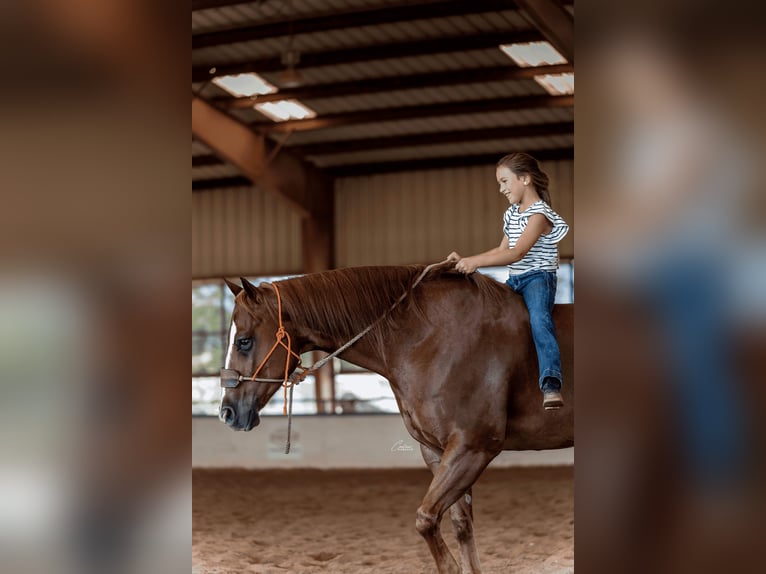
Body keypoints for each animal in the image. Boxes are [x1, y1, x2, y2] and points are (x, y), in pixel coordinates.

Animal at [219, 263, 573, 574]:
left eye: (244, 341)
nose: (227, 412)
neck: (430, 338)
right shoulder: (437, 451)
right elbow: (460, 524)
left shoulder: (473, 448)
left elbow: (426, 519)